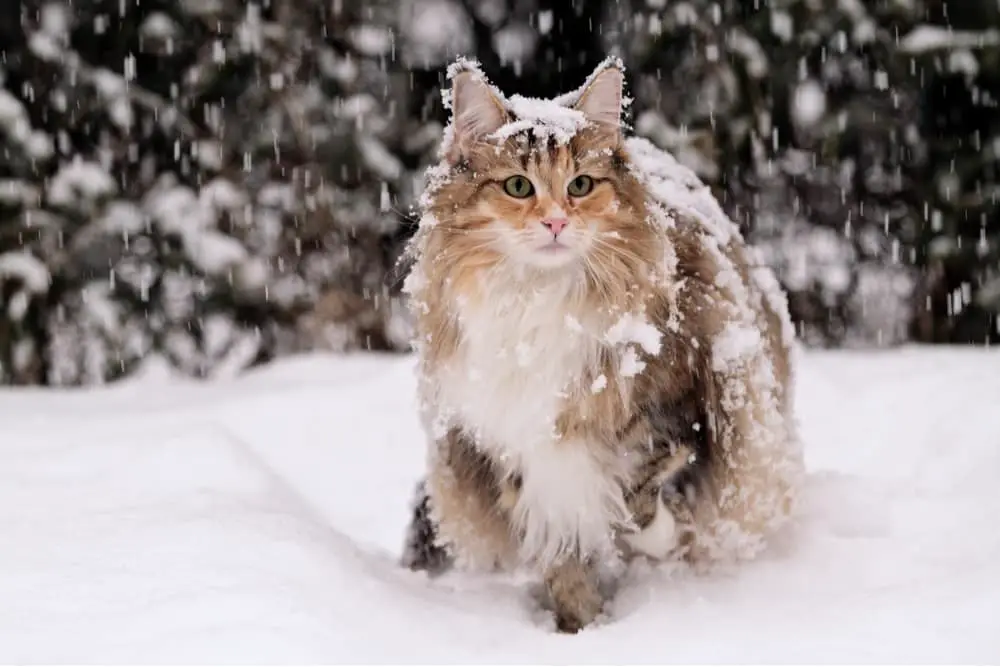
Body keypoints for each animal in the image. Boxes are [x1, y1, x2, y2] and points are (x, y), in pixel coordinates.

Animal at [398, 56, 804, 632]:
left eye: (582, 184)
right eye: (518, 186)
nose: (556, 221)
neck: (538, 302)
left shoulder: (684, 406)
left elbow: (644, 491)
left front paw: (657, 540)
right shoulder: (514, 450)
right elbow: (564, 558)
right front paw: (581, 626)